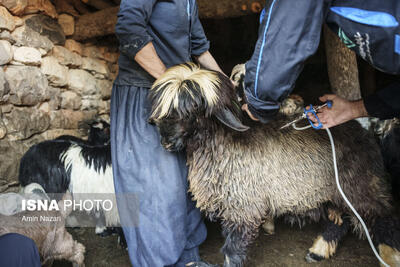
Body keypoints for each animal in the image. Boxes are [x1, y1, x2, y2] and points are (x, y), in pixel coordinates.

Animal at [148, 63, 400, 267]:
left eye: (192, 111)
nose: (166, 142)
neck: (225, 143)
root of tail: (366, 128)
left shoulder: (242, 205)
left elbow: (232, 248)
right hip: (332, 191)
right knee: (338, 221)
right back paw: (317, 252)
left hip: (362, 185)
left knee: (384, 220)